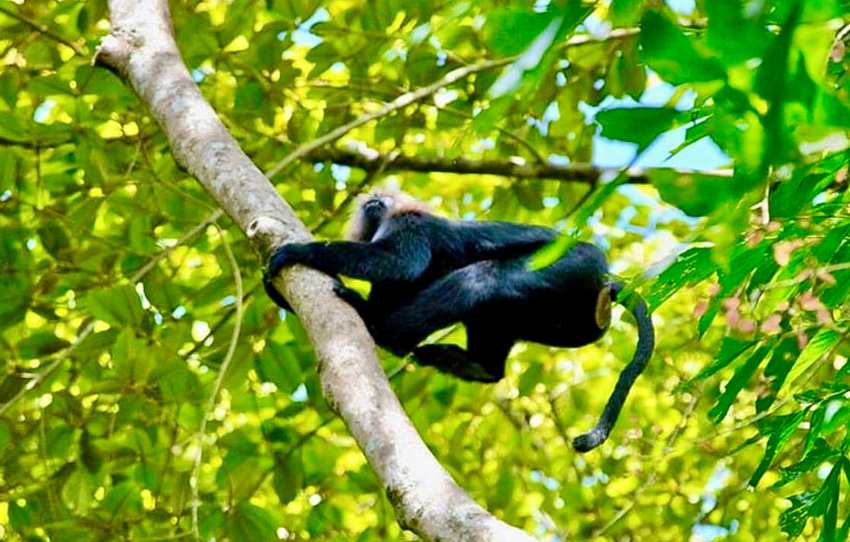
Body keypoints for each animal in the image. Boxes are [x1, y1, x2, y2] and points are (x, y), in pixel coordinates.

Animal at [262, 191, 652, 454]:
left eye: (381, 199)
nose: (373, 198)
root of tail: (605, 277)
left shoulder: (409, 224)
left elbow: (400, 264)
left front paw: (299, 252)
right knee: (491, 322)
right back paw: (477, 366)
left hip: (568, 265)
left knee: (480, 280)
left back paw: (382, 331)